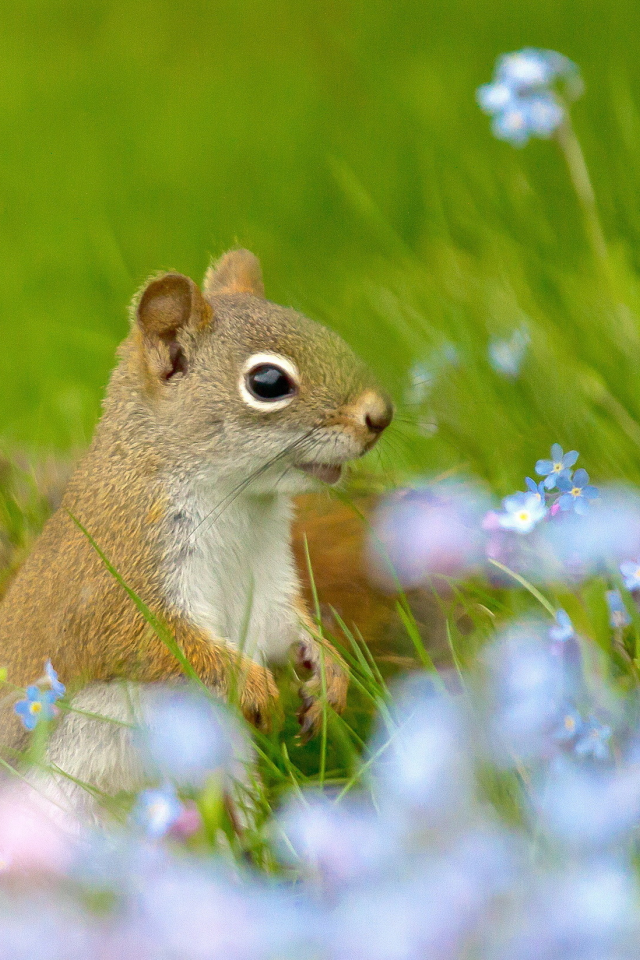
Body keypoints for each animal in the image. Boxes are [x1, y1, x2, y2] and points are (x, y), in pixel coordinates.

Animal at [0, 248, 392, 804]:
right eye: (268, 382)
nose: (380, 415)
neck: (241, 505)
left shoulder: (266, 582)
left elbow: (285, 624)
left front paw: (330, 670)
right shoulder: (117, 575)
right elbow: (154, 640)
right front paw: (252, 686)